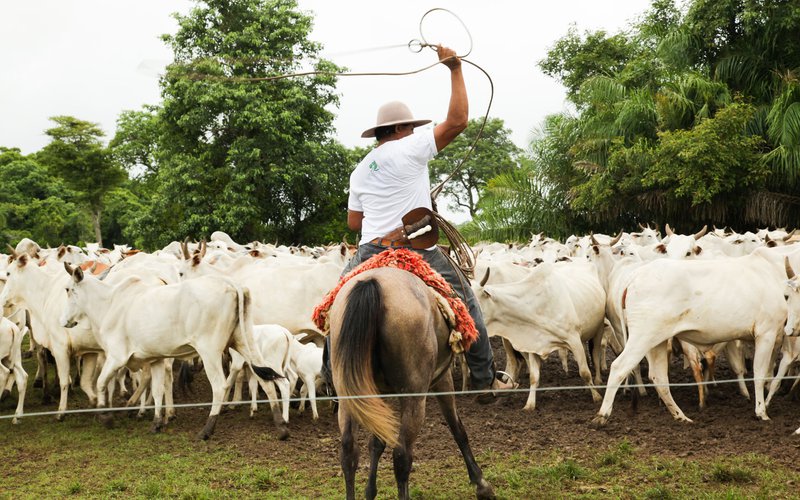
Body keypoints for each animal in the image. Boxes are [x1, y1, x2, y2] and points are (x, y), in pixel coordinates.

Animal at [330, 268, 494, 500]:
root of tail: (373, 283)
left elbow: (377, 442)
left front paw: (370, 491)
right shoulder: (443, 379)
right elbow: (457, 428)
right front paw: (481, 484)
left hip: (348, 395)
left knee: (349, 451)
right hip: (414, 396)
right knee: (402, 456)